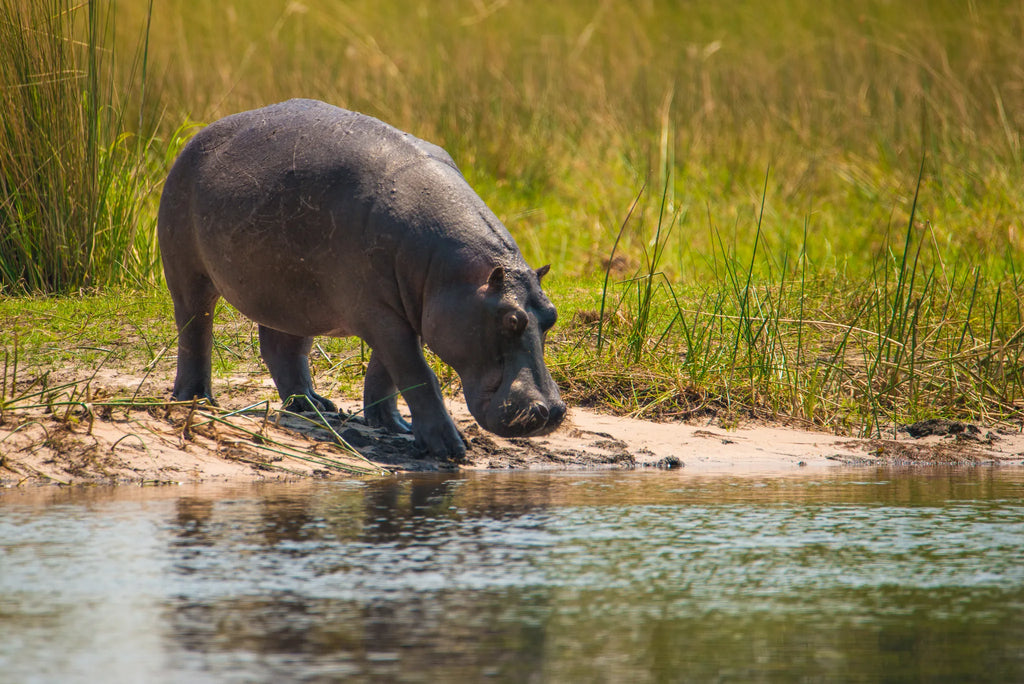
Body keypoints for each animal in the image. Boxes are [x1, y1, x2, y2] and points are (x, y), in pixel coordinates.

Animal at [157, 99, 565, 459]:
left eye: (551, 315)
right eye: (510, 320)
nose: (552, 411)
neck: (458, 276)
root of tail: (200, 134)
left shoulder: (406, 309)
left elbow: (386, 374)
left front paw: (393, 426)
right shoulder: (381, 314)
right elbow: (417, 374)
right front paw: (450, 447)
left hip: (292, 295)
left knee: (282, 349)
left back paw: (315, 406)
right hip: (188, 272)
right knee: (195, 329)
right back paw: (197, 399)